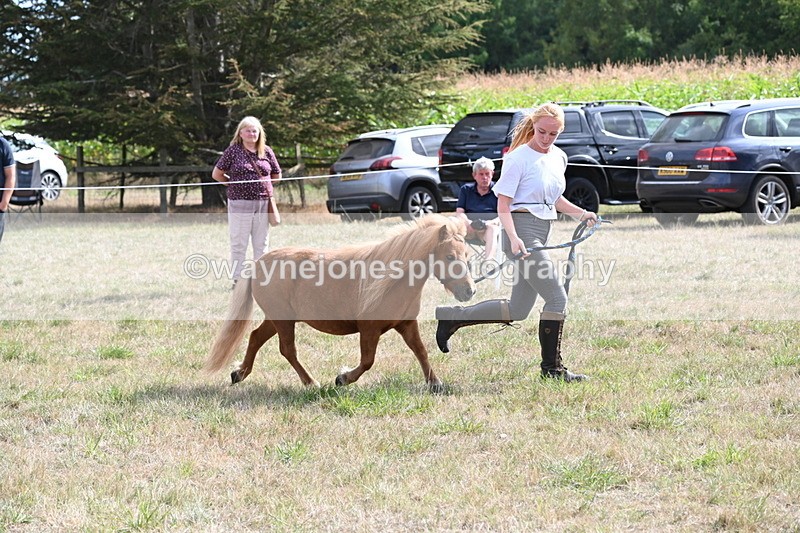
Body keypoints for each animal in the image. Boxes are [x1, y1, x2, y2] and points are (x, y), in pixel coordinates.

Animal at [205, 214, 476, 393]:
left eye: (466, 255)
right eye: (449, 256)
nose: (469, 290)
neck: (391, 281)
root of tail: (258, 264)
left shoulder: (407, 324)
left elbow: (420, 351)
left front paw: (435, 383)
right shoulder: (369, 329)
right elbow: (367, 361)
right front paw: (342, 378)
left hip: (278, 319)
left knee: (255, 337)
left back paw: (239, 374)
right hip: (283, 321)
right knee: (287, 350)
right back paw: (311, 383)